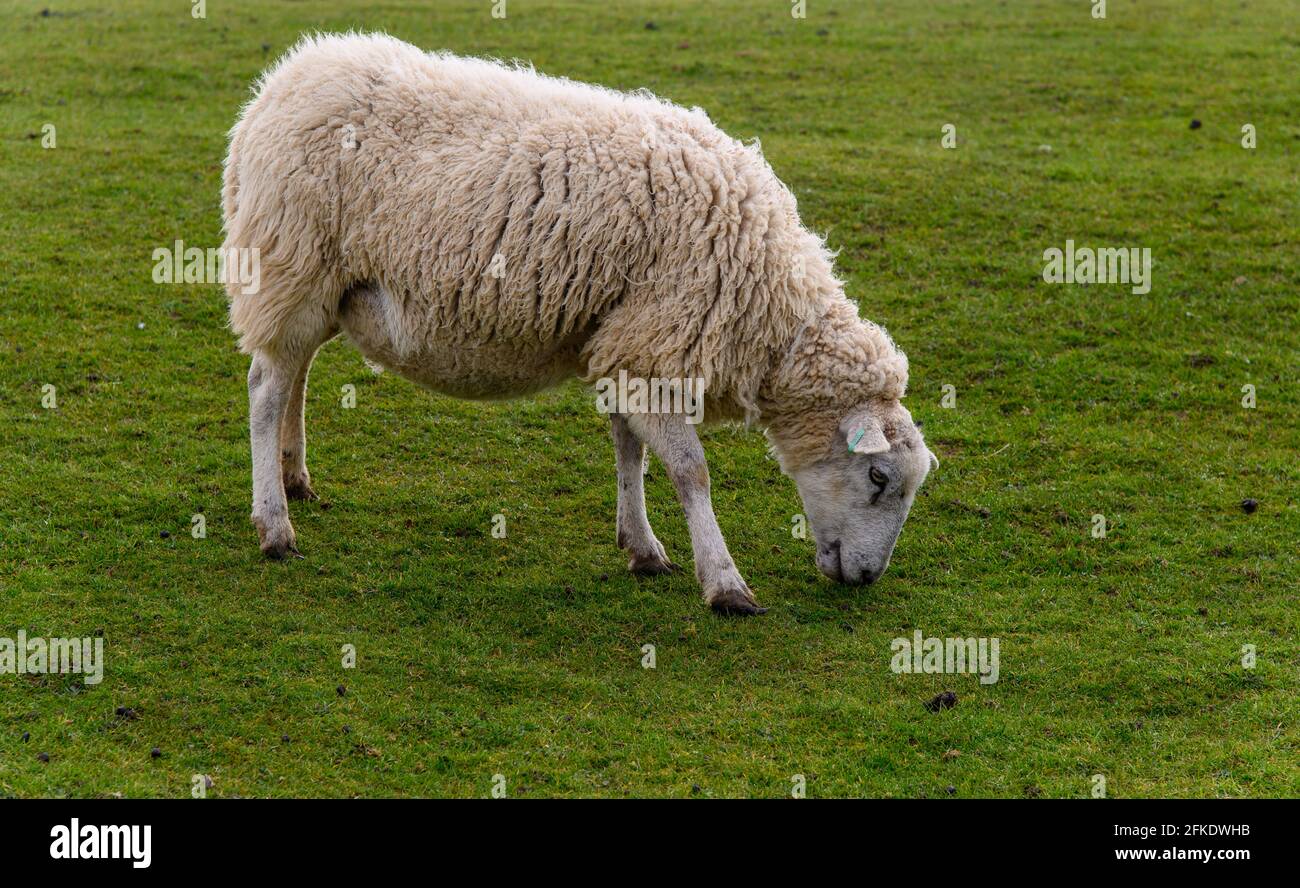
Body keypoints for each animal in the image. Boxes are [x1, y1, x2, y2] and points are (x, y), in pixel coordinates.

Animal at [223, 36, 935, 618]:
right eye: (879, 479)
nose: (866, 578)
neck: (770, 309)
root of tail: (277, 86)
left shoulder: (624, 343)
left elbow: (629, 449)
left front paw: (641, 546)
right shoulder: (656, 349)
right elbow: (690, 472)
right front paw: (725, 583)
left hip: (321, 287)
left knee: (295, 373)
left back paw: (294, 479)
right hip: (291, 261)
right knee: (265, 388)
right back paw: (275, 527)